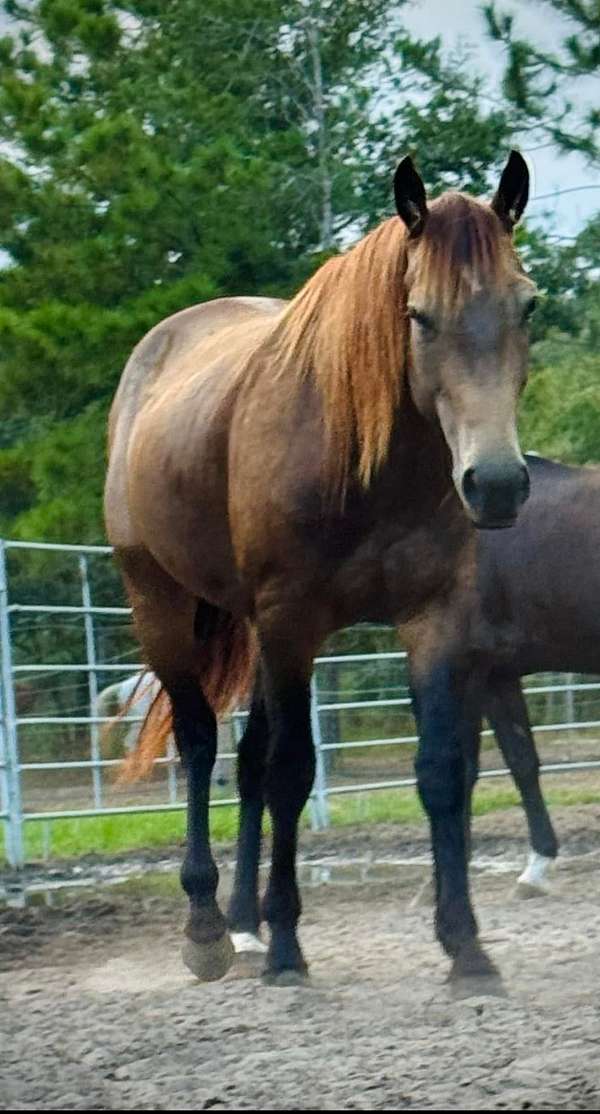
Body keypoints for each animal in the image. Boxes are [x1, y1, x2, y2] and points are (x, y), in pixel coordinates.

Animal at [105, 152, 532, 989]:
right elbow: (293, 773)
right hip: (164, 607)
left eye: (526, 305)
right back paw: (208, 927)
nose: (497, 483)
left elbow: (440, 770)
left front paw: (465, 945)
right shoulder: (291, 622)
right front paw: (288, 951)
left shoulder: (432, 620)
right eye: (418, 315)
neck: (367, 464)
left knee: (244, 762)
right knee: (202, 745)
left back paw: (243, 920)